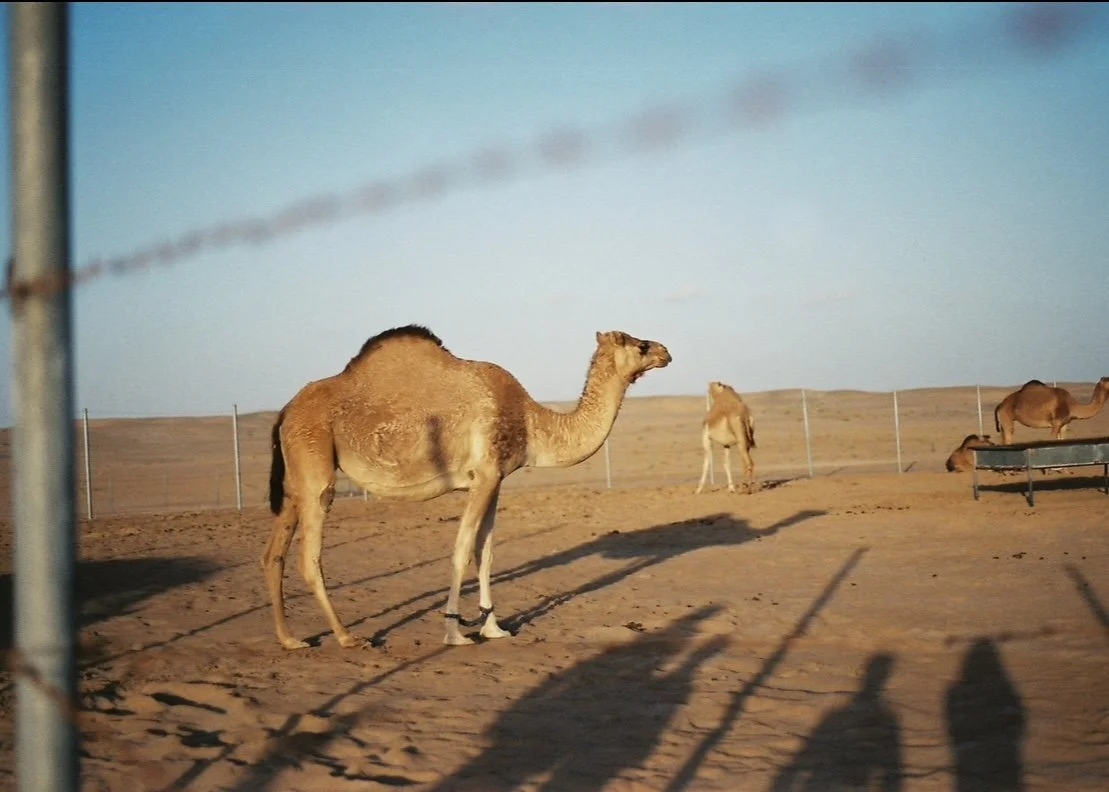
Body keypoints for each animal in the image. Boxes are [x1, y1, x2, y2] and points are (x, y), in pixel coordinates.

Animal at [264, 325, 672, 649]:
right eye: (639, 345)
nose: (666, 352)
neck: (530, 421)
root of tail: (285, 411)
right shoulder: (486, 475)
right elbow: (461, 551)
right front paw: (455, 633)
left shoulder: (495, 480)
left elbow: (485, 554)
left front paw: (494, 628)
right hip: (315, 462)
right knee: (309, 555)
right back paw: (347, 637)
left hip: (295, 479)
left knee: (273, 554)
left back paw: (289, 639)